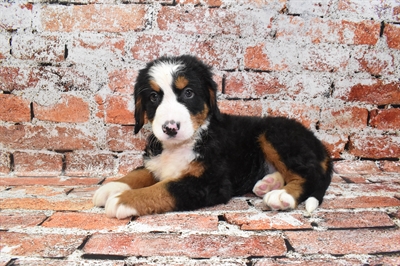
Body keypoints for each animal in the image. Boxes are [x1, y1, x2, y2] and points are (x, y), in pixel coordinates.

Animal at [93, 55, 332, 219]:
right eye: (153, 97)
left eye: (188, 93)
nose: (170, 128)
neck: (183, 143)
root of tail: (320, 145)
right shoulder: (156, 162)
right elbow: (139, 174)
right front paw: (111, 187)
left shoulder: (212, 182)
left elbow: (165, 188)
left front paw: (123, 200)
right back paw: (268, 183)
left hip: (275, 135)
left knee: (310, 176)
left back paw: (283, 196)